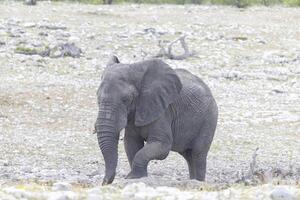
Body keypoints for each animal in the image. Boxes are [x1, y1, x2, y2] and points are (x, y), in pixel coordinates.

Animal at [95, 55, 219, 185]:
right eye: (97, 98)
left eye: (126, 99)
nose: (105, 182)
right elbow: (131, 144)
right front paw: (137, 177)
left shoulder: (162, 110)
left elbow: (162, 146)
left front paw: (132, 178)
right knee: (188, 155)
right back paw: (193, 181)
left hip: (209, 118)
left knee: (198, 154)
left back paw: (198, 182)